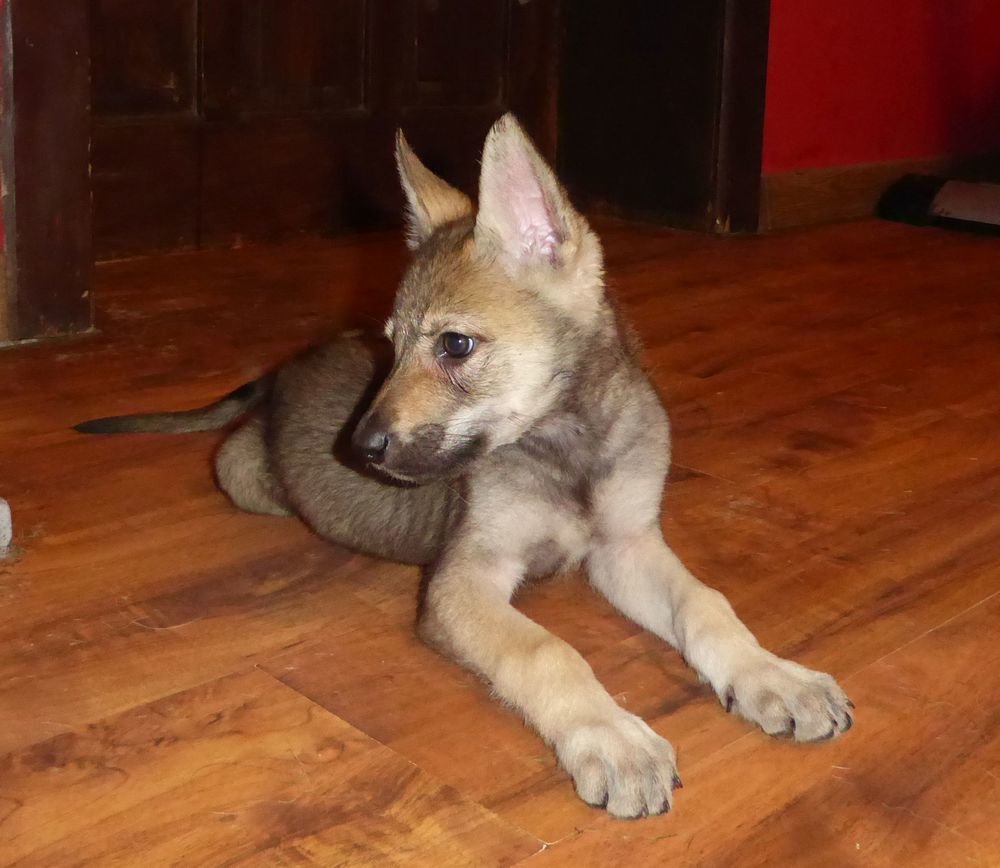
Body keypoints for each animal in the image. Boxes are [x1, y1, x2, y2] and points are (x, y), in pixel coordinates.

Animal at [77, 115, 853, 818]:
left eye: (455, 345)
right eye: (391, 346)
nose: (358, 448)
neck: (567, 446)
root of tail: (279, 373)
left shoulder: (626, 546)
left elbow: (706, 603)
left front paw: (774, 677)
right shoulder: (465, 582)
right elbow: (547, 651)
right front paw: (613, 740)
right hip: (243, 478)